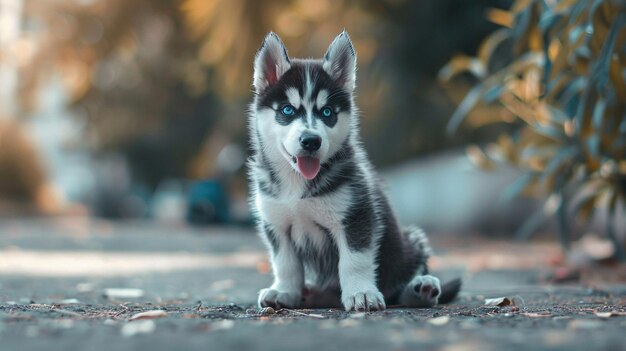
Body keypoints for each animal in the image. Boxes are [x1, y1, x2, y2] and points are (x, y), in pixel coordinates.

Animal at [247, 31, 458, 312]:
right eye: (287, 110)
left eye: (327, 113)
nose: (311, 141)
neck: (297, 187)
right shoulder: (277, 224)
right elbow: (285, 264)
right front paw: (285, 292)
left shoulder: (356, 217)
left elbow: (353, 261)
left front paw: (361, 293)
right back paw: (313, 294)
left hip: (411, 241)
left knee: (406, 280)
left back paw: (420, 289)